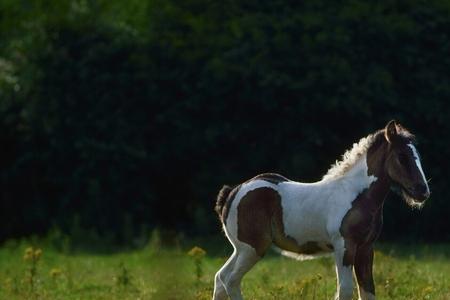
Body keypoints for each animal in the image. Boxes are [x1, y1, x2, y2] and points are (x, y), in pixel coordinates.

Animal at [213, 120, 430, 300]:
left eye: (418, 157)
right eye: (402, 157)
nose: (423, 191)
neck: (355, 194)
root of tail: (234, 192)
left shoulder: (366, 249)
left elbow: (368, 292)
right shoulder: (344, 246)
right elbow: (345, 291)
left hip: (240, 249)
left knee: (220, 278)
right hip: (253, 248)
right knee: (231, 281)